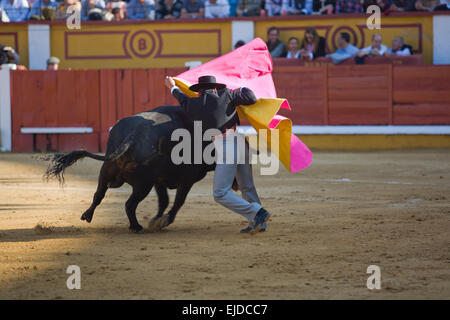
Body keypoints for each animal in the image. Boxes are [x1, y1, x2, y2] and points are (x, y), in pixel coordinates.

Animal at [45, 106, 225, 234]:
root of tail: (133, 136)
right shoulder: (186, 179)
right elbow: (177, 201)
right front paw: (163, 220)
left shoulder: (159, 180)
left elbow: (164, 200)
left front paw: (156, 220)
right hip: (143, 184)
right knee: (129, 204)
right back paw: (136, 227)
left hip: (107, 172)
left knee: (98, 195)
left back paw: (87, 215)